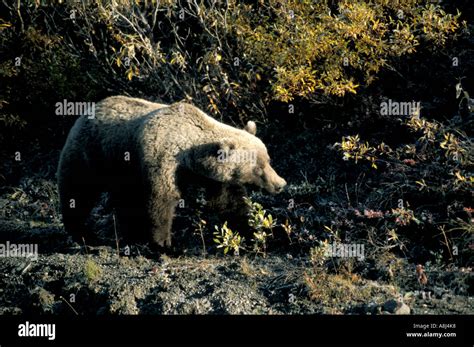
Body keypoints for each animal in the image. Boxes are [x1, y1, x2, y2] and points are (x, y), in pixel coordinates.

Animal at [57, 96, 286, 247]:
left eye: (268, 160)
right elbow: (162, 199)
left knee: (125, 198)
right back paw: (84, 234)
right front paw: (164, 243)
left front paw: (252, 230)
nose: (280, 184)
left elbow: (228, 202)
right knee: (78, 192)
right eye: (258, 167)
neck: (190, 157)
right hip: (91, 154)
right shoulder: (161, 159)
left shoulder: (213, 177)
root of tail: (88, 110)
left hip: (122, 169)